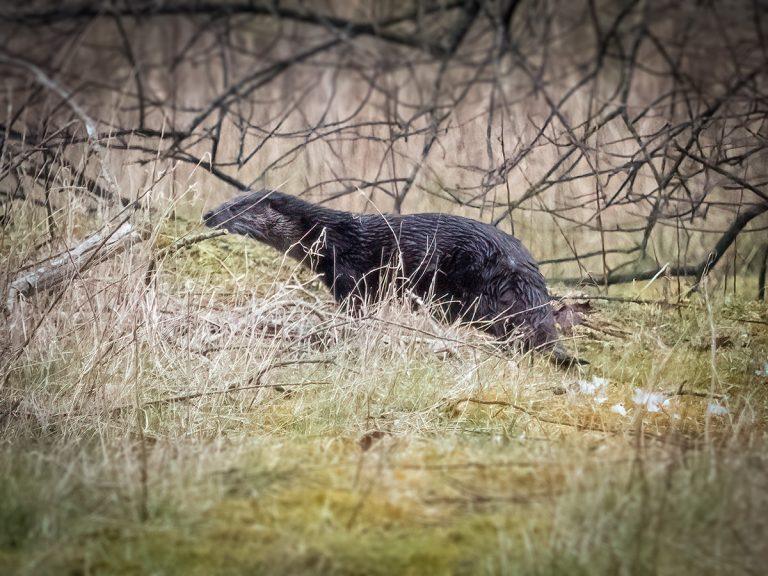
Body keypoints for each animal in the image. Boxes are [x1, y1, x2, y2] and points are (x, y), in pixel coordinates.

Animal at [203, 189, 581, 365]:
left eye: (235, 207)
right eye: (228, 199)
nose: (208, 213)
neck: (330, 238)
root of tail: (527, 271)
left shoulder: (351, 277)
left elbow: (355, 311)